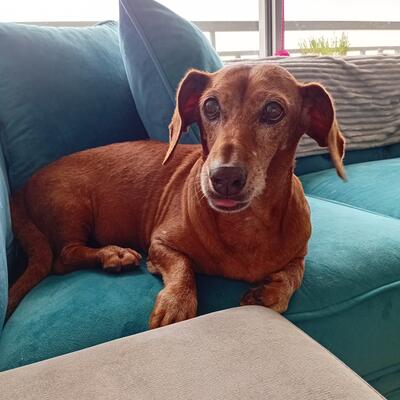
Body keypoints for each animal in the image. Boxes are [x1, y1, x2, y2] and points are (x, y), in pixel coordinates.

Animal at [8, 63, 345, 328]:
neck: (245, 224)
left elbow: (293, 275)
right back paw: (113, 254)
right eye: (210, 107)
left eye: (274, 110)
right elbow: (183, 267)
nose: (223, 177)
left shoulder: (299, 255)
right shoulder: (159, 244)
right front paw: (176, 303)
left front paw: (271, 292)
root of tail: (20, 189)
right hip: (73, 205)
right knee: (63, 257)